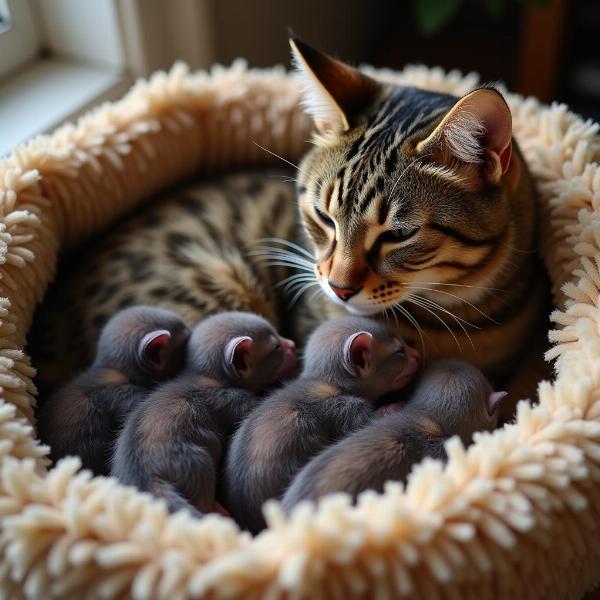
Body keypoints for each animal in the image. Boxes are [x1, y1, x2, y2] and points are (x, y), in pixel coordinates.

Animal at [110, 312, 298, 516]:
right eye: (277, 347)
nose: (293, 344)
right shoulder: (235, 399)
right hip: (195, 462)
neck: (204, 376)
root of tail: (147, 478)